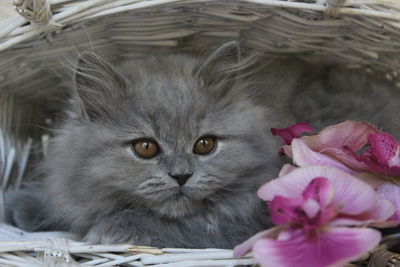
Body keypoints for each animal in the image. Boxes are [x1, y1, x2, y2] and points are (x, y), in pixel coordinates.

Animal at [6, 42, 400, 249]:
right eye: (145, 147)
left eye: (205, 144)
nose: (182, 176)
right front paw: (20, 205)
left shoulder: (241, 221)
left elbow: (185, 227)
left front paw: (111, 230)